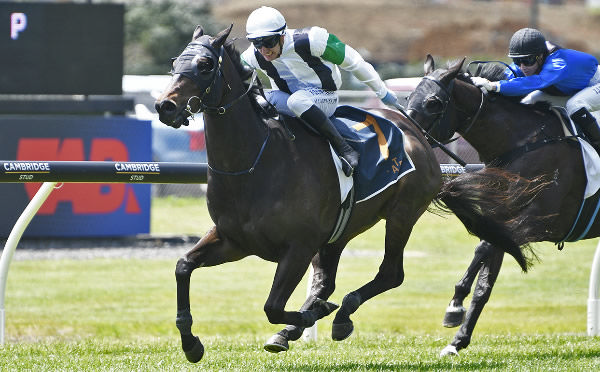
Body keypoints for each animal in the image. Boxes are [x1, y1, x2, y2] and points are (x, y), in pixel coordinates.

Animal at [152, 26, 440, 364]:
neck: (255, 162)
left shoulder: (299, 248)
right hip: (340, 230)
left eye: (205, 65)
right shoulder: (234, 240)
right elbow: (183, 266)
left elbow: (272, 307)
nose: (166, 106)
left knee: (390, 273)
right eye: (174, 62)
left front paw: (311, 315)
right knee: (327, 281)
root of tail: (416, 132)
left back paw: (340, 315)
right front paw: (191, 342)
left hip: (402, 214)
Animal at [406, 54, 596, 354]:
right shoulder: (499, 220)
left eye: (433, 102)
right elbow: (484, 284)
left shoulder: (540, 220)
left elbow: (483, 248)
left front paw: (454, 305)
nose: (408, 138)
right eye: (408, 98)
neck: (522, 144)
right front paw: (457, 340)